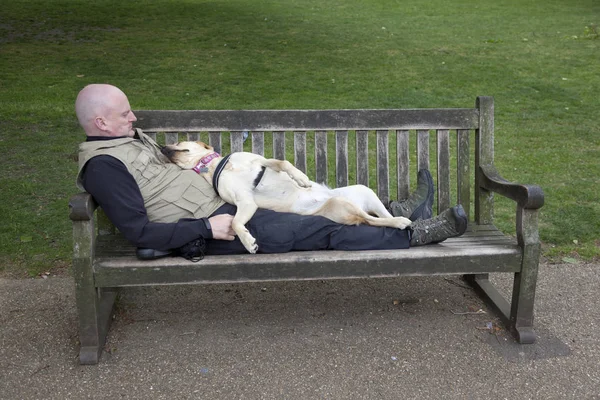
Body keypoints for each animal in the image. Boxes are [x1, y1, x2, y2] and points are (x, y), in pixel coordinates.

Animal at [162, 141, 410, 253]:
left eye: (178, 142)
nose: (163, 147)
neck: (217, 166)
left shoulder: (261, 162)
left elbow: (283, 163)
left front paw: (301, 179)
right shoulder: (244, 201)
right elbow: (235, 222)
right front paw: (248, 242)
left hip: (361, 192)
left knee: (379, 216)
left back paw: (401, 218)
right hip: (341, 205)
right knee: (371, 221)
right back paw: (402, 222)